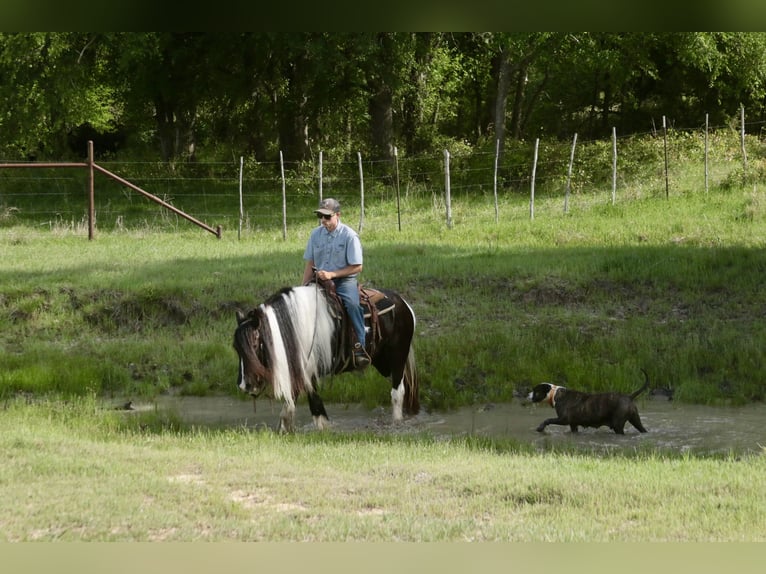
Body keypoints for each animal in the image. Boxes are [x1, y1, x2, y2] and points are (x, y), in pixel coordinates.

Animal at [233, 282, 419, 432]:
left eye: (254, 345)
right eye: (236, 348)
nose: (244, 385)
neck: (297, 327)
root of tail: (403, 304)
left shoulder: (310, 370)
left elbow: (313, 402)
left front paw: (323, 428)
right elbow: (290, 405)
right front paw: (285, 429)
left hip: (398, 356)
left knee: (398, 392)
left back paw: (396, 421)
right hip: (383, 363)